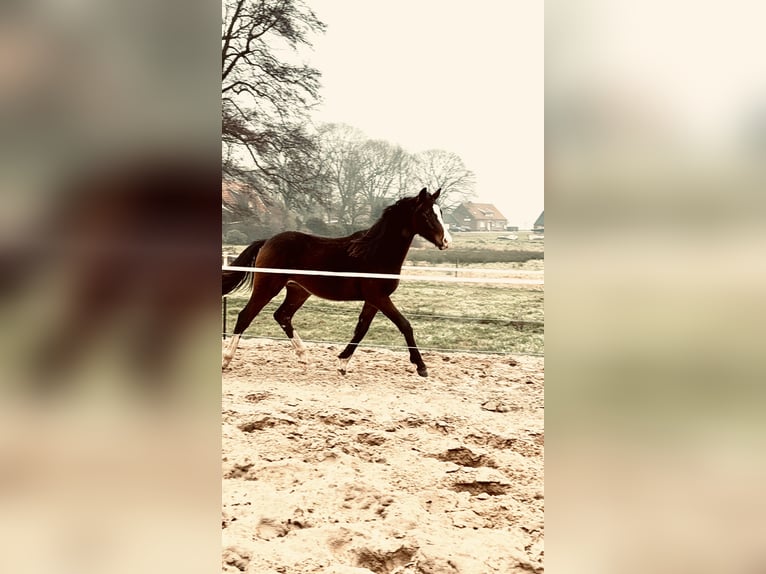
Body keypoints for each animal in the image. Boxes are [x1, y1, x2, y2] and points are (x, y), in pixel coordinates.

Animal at [222, 189, 450, 378]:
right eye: (427, 214)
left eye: (440, 212)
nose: (446, 241)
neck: (375, 252)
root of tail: (267, 241)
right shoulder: (379, 297)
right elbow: (405, 325)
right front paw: (421, 367)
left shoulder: (373, 300)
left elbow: (361, 329)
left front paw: (342, 363)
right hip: (268, 287)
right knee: (245, 316)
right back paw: (226, 360)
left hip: (298, 291)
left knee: (282, 316)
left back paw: (305, 358)